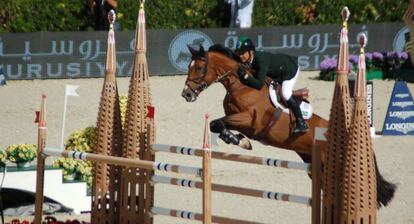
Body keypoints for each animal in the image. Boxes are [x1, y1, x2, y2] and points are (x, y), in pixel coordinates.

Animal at [183, 44, 396, 207]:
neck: (241, 85)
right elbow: (216, 125)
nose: (186, 94)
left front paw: (241, 141)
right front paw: (238, 140)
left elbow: (217, 122)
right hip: (315, 165)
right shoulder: (236, 119)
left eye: (199, 68)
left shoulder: (251, 121)